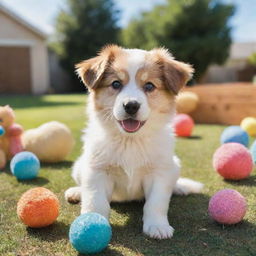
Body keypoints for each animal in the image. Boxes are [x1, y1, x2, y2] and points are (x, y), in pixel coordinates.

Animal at [65, 45, 204, 239]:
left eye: (149, 86)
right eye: (116, 84)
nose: (131, 105)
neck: (130, 141)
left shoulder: (160, 172)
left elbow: (156, 202)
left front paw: (157, 226)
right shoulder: (97, 170)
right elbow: (95, 199)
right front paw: (90, 223)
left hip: (174, 165)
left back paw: (179, 188)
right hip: (80, 165)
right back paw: (76, 192)